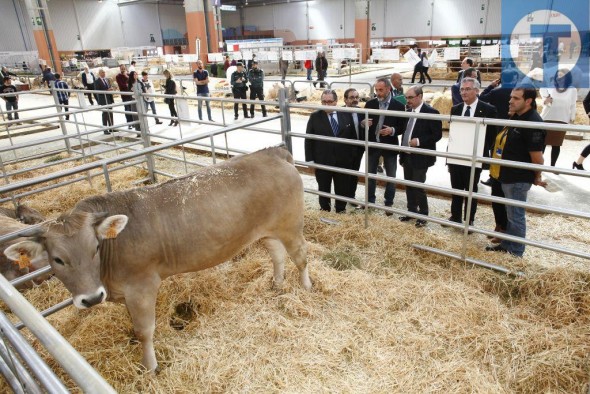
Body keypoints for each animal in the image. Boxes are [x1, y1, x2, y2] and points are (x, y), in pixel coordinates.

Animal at [4, 149, 312, 372]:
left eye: (95, 247)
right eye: (57, 259)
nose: (91, 299)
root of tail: (271, 152)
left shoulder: (141, 286)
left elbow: (144, 331)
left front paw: (149, 367)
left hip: (291, 225)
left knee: (301, 256)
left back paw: (306, 288)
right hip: (266, 231)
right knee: (277, 254)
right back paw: (276, 284)